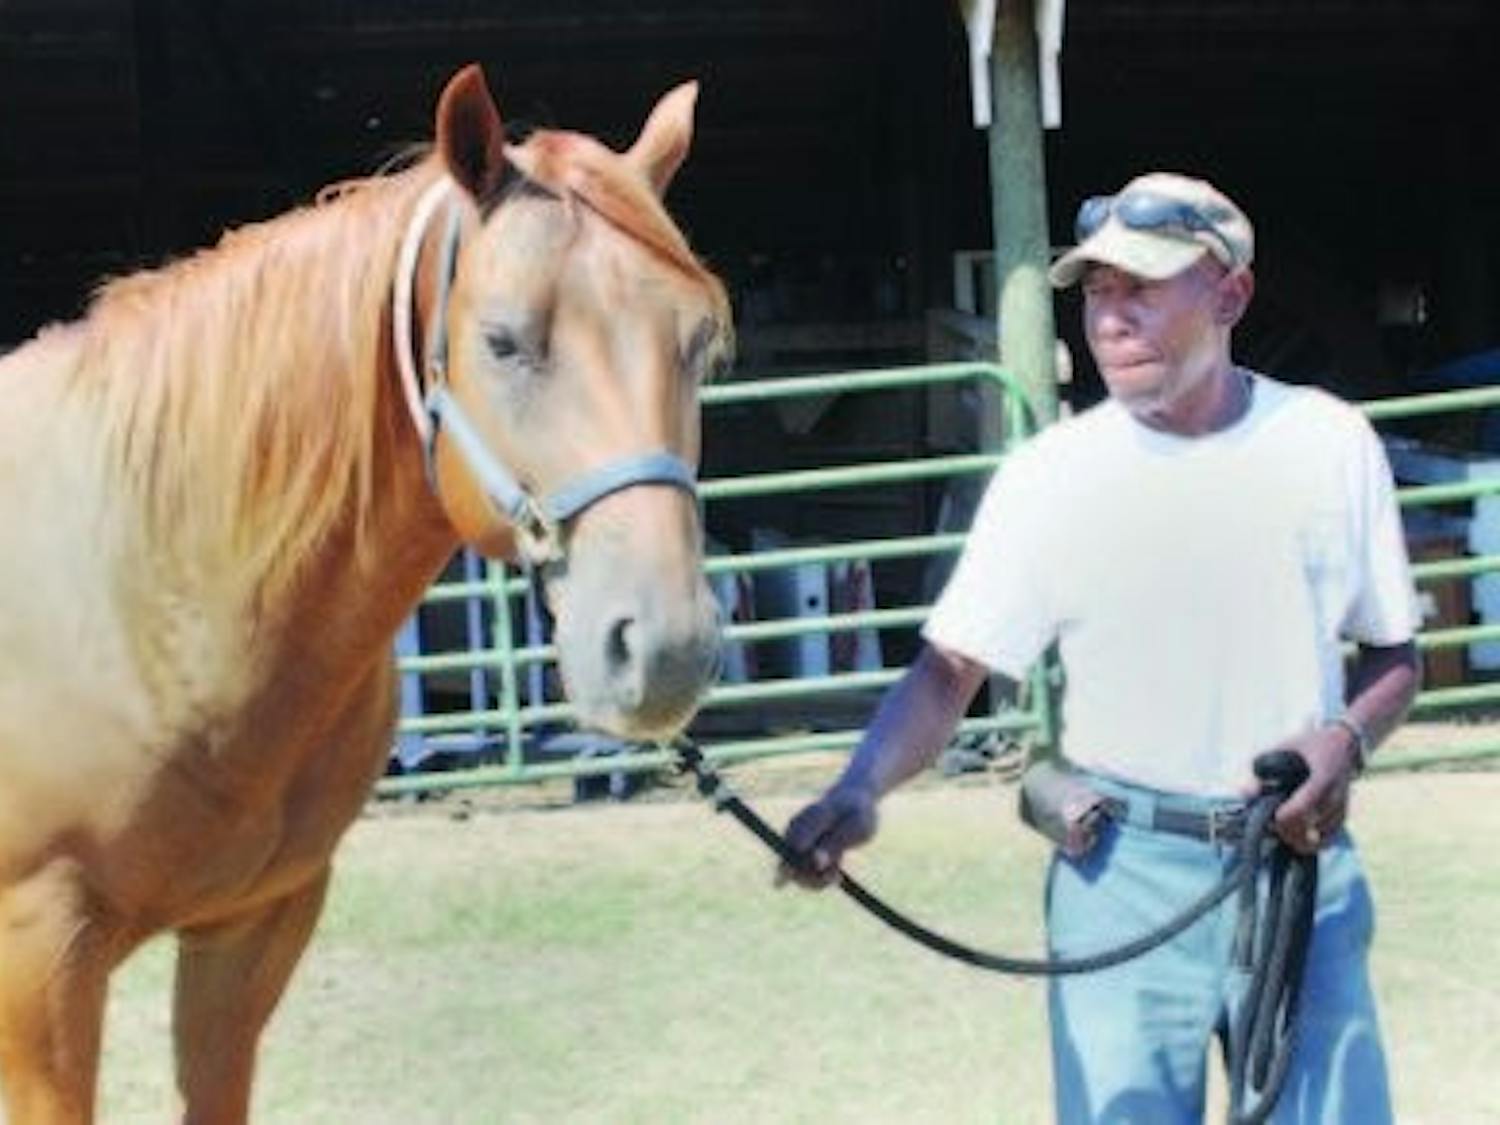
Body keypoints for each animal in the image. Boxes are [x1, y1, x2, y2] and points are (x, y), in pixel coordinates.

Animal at [0, 64, 730, 1124]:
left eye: (701, 342)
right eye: (503, 341)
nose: (663, 646)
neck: (140, 590)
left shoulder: (249, 936)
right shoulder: (41, 963)